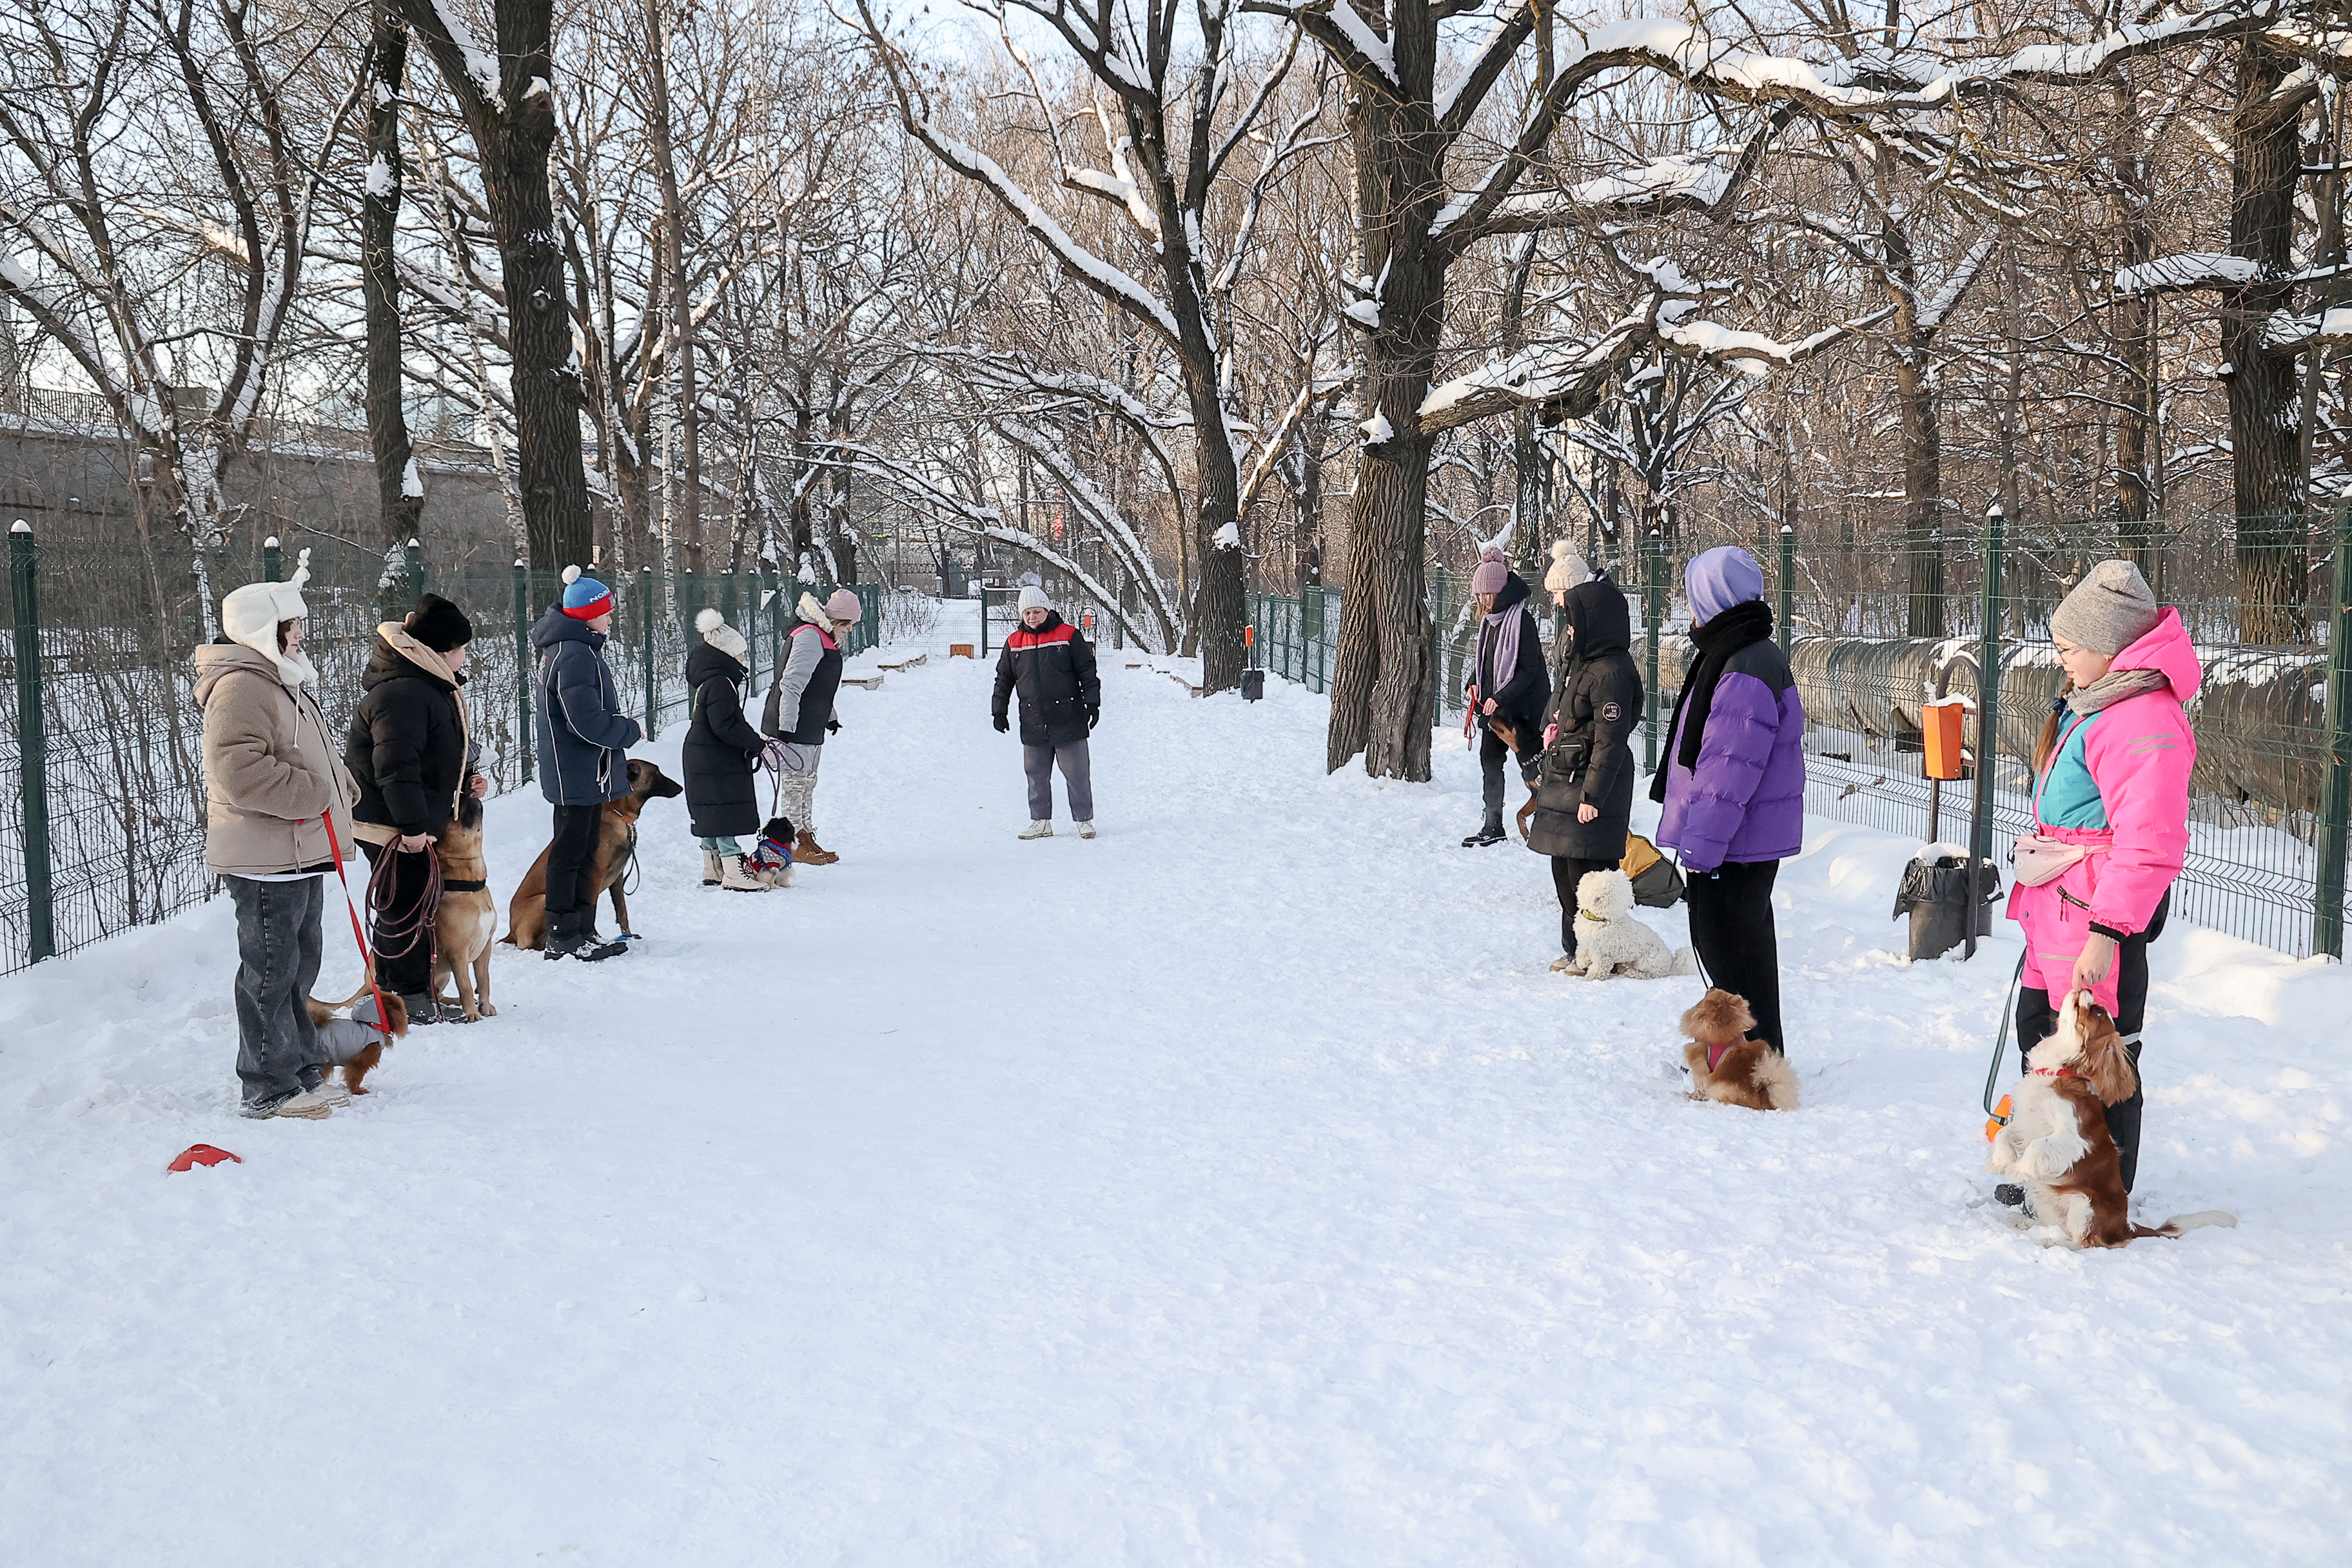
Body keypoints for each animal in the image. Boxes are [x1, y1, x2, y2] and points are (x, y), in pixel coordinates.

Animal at [430, 799, 498, 1030]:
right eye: (451, 814)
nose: (468, 795)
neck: (469, 888)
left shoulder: (486, 947)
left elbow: (484, 980)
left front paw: (485, 1006)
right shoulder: (457, 954)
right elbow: (466, 985)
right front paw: (471, 1014)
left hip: (443, 976)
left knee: (439, 995)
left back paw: (453, 1001)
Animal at [496, 757, 681, 950]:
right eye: (656, 773)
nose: (681, 788)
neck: (618, 813)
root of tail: (512, 932)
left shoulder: (618, 878)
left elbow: (622, 911)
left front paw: (628, 936)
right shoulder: (594, 877)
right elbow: (590, 912)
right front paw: (596, 939)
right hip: (542, 899)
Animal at [1562, 870, 1693, 983]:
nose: (1588, 874)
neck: (1601, 919)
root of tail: (1671, 963)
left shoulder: (1603, 954)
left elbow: (1599, 968)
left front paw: (1592, 977)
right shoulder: (1586, 942)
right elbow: (1582, 951)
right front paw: (1582, 962)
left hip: (1648, 962)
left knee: (1649, 974)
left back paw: (1633, 973)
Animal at [1683, 987, 1787, 1109]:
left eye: (1716, 992)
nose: (1712, 987)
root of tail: (1765, 1099)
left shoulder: (1698, 1061)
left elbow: (1699, 1085)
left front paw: (1691, 1096)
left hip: (1722, 1087)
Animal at [1984, 992, 2239, 1250]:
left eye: (2097, 1012)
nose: (2087, 990)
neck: (2060, 1070)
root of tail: (2126, 1227)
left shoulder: (2073, 1137)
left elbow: (2037, 1146)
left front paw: (2018, 1169)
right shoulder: (2026, 1120)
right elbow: (2005, 1133)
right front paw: (2001, 1162)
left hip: (2083, 1203)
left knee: (2085, 1242)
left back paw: (2050, 1242)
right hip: (2045, 1198)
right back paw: (2021, 1221)